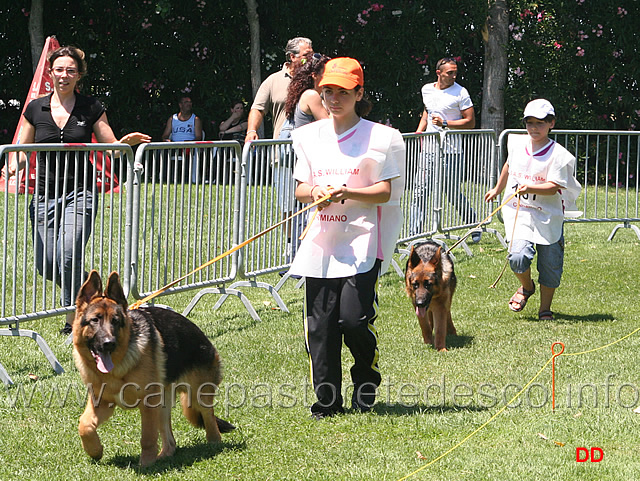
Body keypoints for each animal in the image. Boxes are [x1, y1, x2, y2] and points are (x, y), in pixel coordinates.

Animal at [73, 272, 235, 466]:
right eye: (95, 320)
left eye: (115, 321)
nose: (109, 343)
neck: (117, 370)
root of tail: (202, 336)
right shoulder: (102, 402)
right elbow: (84, 424)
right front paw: (95, 450)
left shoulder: (148, 403)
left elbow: (148, 437)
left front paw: (146, 465)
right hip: (162, 405)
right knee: (170, 440)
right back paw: (165, 455)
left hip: (196, 396)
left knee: (209, 418)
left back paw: (213, 445)